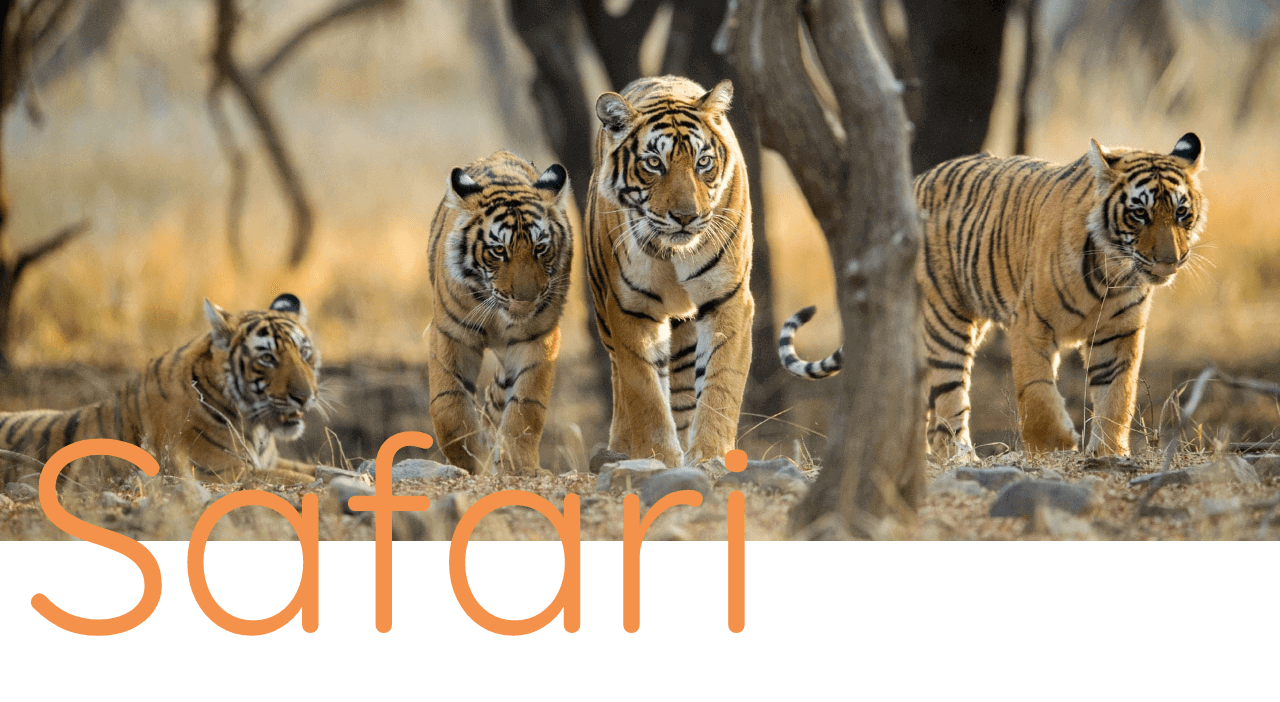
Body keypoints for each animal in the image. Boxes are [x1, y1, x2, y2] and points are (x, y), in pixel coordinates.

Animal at [0, 294, 325, 487]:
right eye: (267, 358)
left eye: (304, 353)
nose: (305, 397)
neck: (257, 429)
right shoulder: (222, 472)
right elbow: (301, 478)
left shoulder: (268, 461)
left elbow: (322, 469)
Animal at [425, 150, 572, 476]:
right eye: (498, 251)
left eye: (540, 248)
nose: (526, 299)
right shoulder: (451, 334)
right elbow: (449, 406)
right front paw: (471, 461)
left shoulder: (537, 338)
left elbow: (526, 407)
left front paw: (517, 465)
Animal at [585, 75, 754, 469]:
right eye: (653, 164)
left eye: (703, 162)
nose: (686, 217)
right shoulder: (630, 308)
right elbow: (644, 391)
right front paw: (657, 456)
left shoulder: (728, 299)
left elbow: (720, 383)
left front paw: (710, 454)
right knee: (622, 384)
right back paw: (620, 447)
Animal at [779, 133, 1207, 458]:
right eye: (1139, 214)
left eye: (1182, 214)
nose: (1171, 259)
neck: (1112, 273)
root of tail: (915, 182)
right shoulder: (1031, 324)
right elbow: (1036, 391)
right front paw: (1055, 445)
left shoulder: (1118, 334)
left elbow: (1118, 395)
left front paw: (1109, 452)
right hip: (946, 320)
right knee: (949, 399)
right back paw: (960, 457)